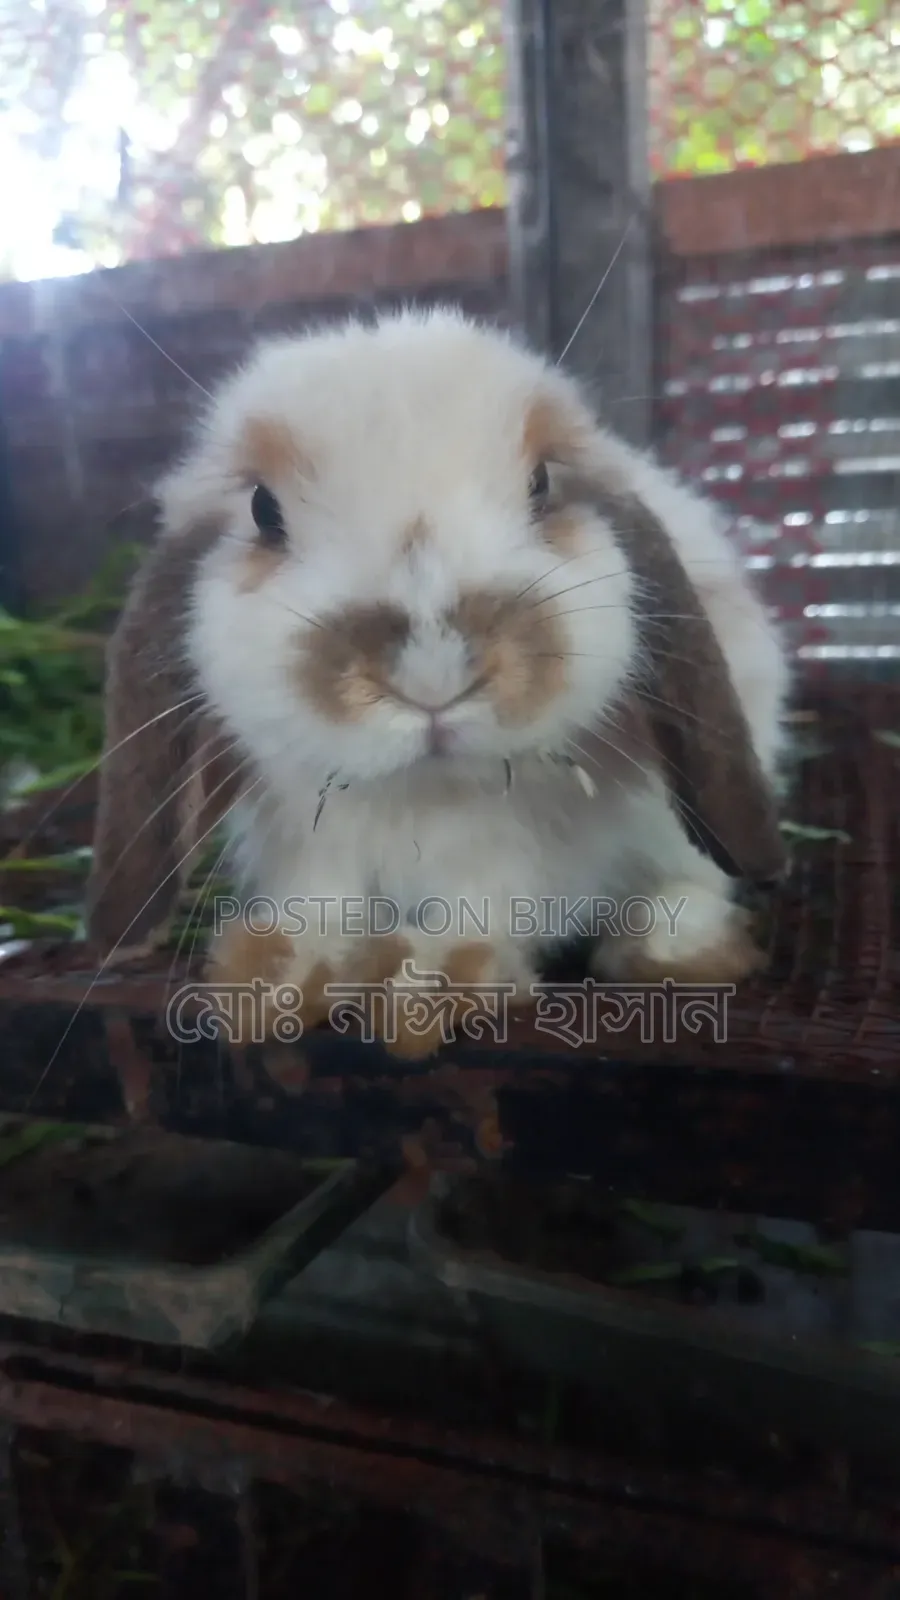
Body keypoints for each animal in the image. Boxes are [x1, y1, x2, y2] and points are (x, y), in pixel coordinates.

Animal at [86, 305, 789, 1058]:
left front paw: (425, 987)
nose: (432, 674)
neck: (424, 792)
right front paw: (271, 982)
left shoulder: (514, 851)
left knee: (689, 879)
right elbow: (319, 902)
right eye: (262, 510)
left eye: (543, 483)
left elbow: (482, 904)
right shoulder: (310, 841)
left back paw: (668, 947)